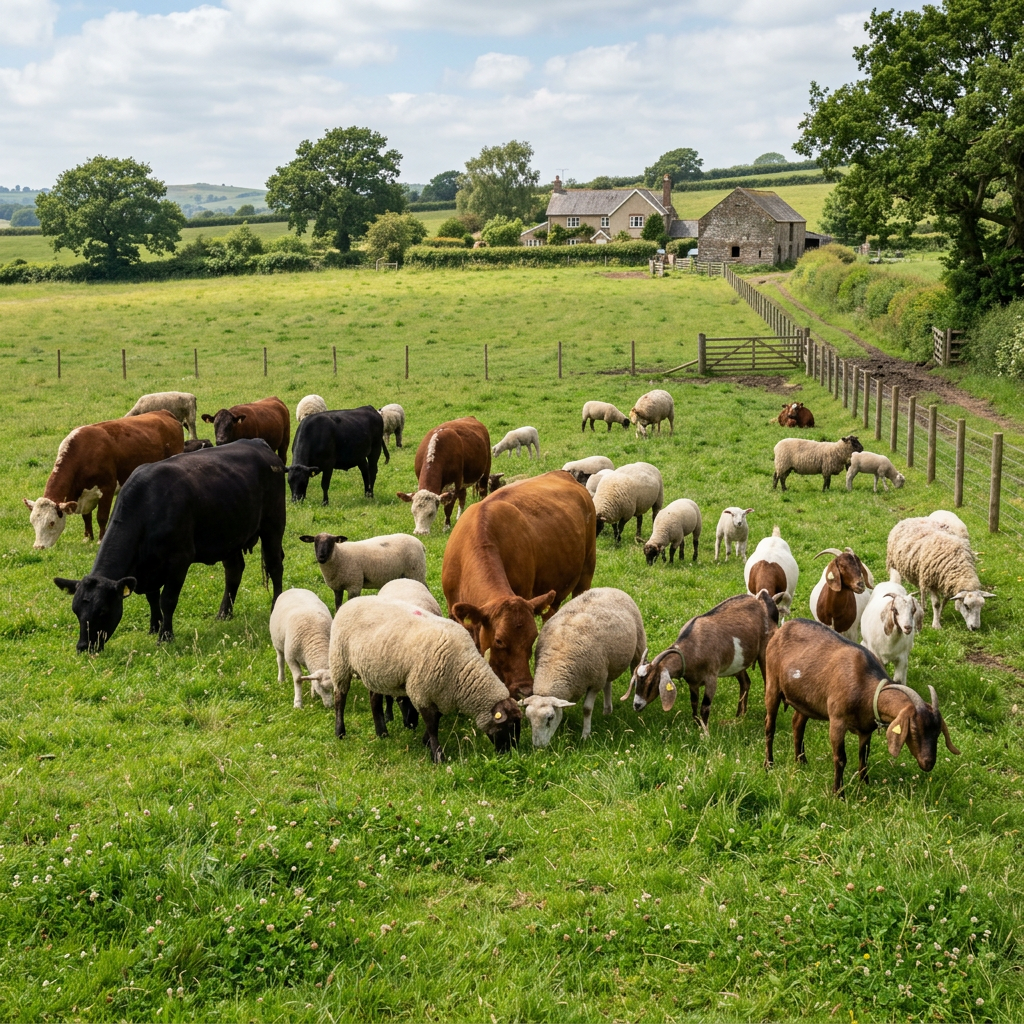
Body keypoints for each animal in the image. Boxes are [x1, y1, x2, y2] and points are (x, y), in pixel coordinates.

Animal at [24, 411, 184, 549]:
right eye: (32, 522)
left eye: (51, 523)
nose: (38, 547)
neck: (83, 453)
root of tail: (163, 412)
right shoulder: (84, 496)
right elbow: (86, 517)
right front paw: (87, 537)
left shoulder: (107, 488)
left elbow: (101, 517)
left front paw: (100, 539)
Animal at [53, 439, 286, 652]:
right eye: (76, 610)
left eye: (102, 610)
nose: (83, 646)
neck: (148, 507)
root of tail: (257, 443)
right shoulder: (148, 568)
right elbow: (152, 598)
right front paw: (154, 627)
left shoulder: (179, 561)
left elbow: (167, 600)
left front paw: (165, 636)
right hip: (230, 536)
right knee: (234, 571)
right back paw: (224, 613)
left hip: (273, 525)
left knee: (275, 566)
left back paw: (275, 605)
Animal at [441, 470, 597, 699]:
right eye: (499, 640)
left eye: (532, 639)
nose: (524, 689)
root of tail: (562, 474)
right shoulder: (455, 612)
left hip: (586, 572)